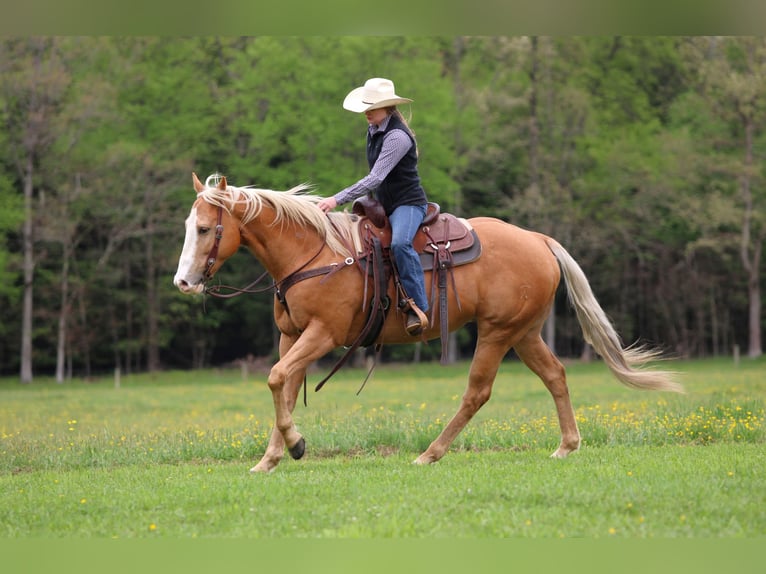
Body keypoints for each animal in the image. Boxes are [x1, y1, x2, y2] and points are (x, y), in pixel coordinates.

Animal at [173, 173, 683, 473]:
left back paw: (430, 453)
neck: (314, 253)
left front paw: (295, 446)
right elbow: (282, 384)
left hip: (497, 332)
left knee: (477, 392)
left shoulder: (322, 335)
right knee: (556, 375)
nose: (183, 281)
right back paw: (567, 445)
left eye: (205, 228)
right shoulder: (291, 336)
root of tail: (538, 239)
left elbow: (278, 379)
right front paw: (271, 457)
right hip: (524, 332)